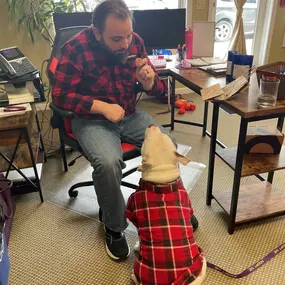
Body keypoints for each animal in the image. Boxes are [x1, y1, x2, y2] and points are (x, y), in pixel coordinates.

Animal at [125, 124, 205, 284]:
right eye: (164, 135)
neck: (163, 179)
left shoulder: (133, 212)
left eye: (145, 141)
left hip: (139, 266)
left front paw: (138, 245)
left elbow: (139, 236)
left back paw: (133, 276)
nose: (152, 125)